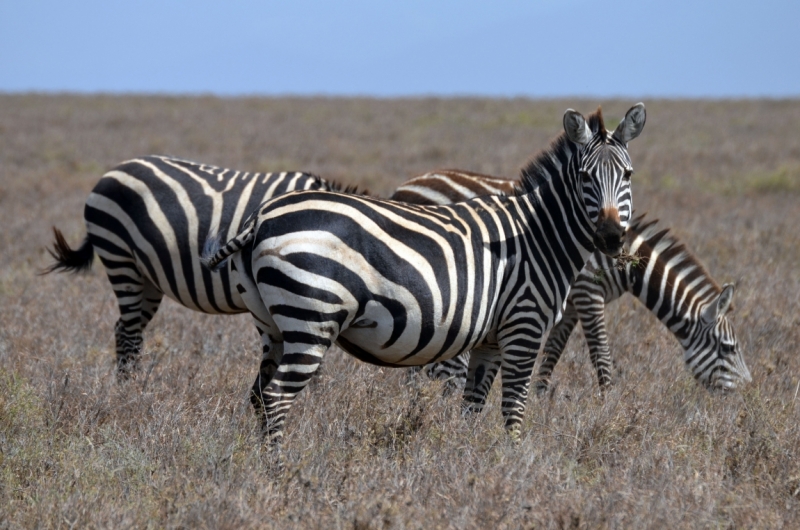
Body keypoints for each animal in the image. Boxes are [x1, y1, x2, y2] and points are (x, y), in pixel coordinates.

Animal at [42, 156, 358, 376]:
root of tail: (113, 171)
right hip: (119, 257)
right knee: (129, 332)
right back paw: (129, 394)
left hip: (147, 277)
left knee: (124, 329)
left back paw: (127, 387)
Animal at [203, 103, 648, 442]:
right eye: (585, 177)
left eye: (627, 176)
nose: (611, 237)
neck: (539, 236)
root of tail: (260, 218)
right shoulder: (524, 326)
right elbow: (513, 410)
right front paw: (513, 463)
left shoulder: (490, 339)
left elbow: (473, 407)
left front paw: (471, 465)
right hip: (311, 317)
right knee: (277, 397)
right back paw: (278, 473)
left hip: (273, 324)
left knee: (259, 395)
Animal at [392, 165, 752, 392]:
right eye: (728, 348)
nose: (748, 394)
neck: (620, 262)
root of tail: (405, 185)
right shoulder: (588, 292)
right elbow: (601, 356)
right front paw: (609, 406)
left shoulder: (571, 303)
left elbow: (552, 354)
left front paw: (539, 399)